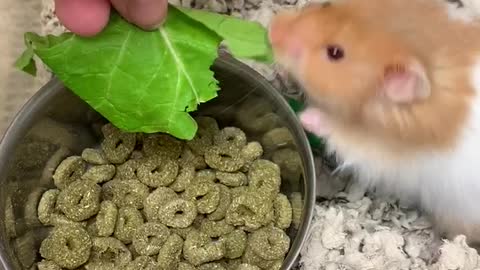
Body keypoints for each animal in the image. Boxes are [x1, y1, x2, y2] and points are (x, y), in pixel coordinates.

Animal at [268, 0, 480, 245]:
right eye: (326, 4)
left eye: (335, 52)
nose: (272, 28)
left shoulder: (379, 152)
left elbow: (340, 132)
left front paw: (305, 116)